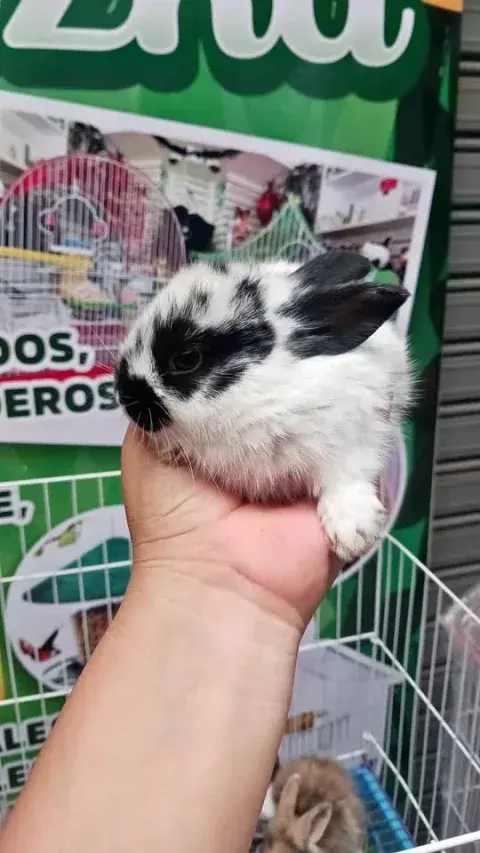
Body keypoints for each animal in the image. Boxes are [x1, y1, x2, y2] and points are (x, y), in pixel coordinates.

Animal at [115, 250, 412, 562]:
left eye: (186, 359)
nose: (125, 397)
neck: (260, 397)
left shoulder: (355, 436)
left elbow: (347, 480)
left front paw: (353, 536)